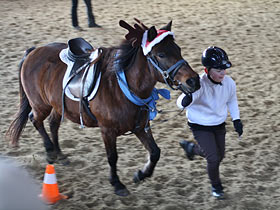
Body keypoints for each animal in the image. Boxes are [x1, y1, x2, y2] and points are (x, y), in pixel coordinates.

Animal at [6, 18, 199, 196]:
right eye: (161, 54)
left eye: (178, 50)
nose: (193, 80)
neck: (122, 88)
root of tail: (32, 51)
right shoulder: (107, 130)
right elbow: (112, 157)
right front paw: (117, 183)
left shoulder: (140, 126)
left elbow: (155, 152)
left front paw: (141, 174)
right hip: (41, 105)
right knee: (35, 120)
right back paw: (50, 152)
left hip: (58, 106)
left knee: (53, 124)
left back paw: (60, 154)